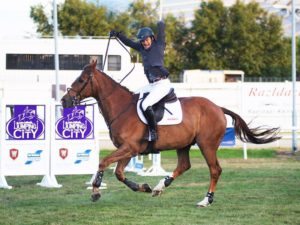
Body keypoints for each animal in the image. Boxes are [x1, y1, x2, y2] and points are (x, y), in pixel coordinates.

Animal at [61, 60, 282, 207]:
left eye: (81, 79)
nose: (64, 101)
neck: (121, 108)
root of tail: (218, 107)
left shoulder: (129, 148)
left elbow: (103, 163)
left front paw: (96, 190)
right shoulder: (129, 150)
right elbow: (119, 173)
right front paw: (144, 187)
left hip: (207, 145)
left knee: (215, 170)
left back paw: (206, 200)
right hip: (183, 144)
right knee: (184, 165)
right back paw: (160, 186)